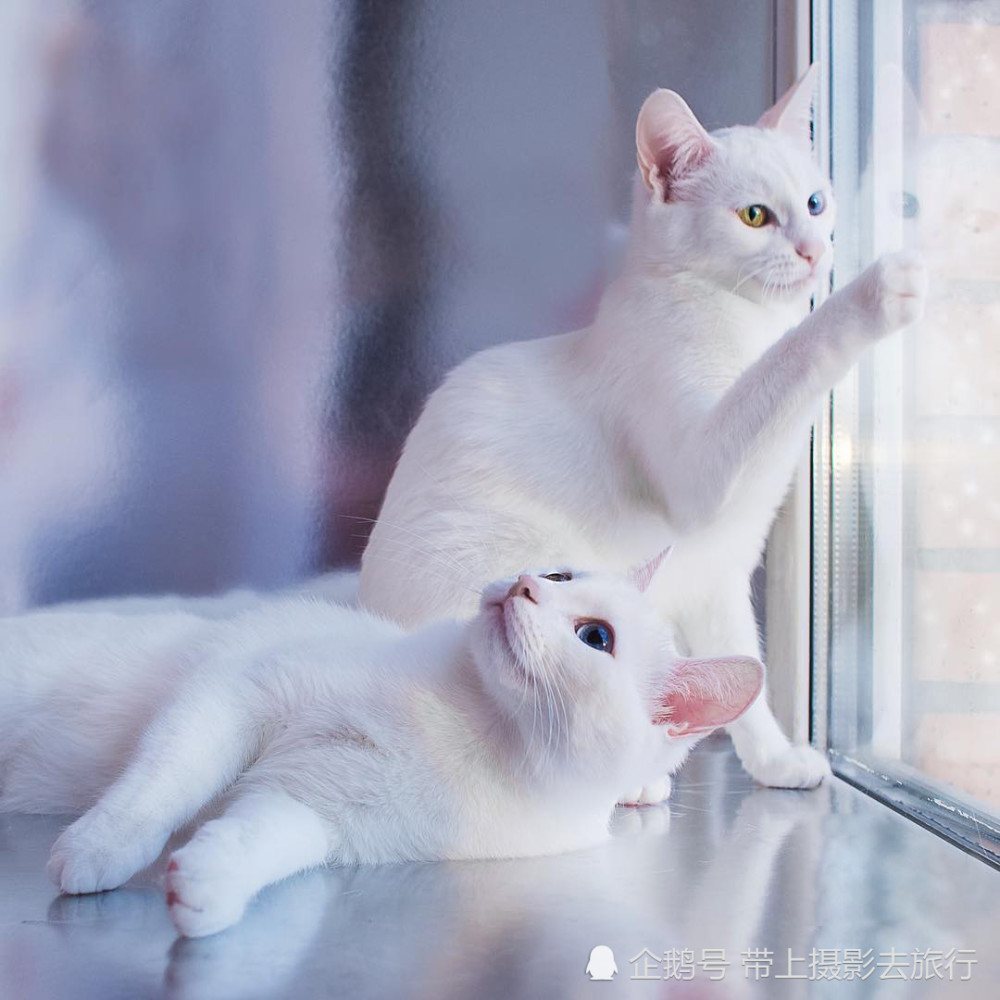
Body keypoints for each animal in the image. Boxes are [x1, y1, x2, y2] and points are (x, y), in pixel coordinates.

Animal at [1, 560, 764, 932]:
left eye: (595, 637)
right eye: (559, 575)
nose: (523, 583)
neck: (468, 720)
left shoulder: (316, 816)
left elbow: (264, 843)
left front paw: (208, 885)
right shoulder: (236, 690)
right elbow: (164, 783)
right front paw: (101, 846)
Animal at [360, 64, 928, 796]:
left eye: (816, 202)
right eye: (754, 216)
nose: (813, 251)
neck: (737, 318)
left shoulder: (720, 573)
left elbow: (743, 675)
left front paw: (774, 761)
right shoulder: (699, 469)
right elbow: (787, 362)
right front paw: (874, 292)